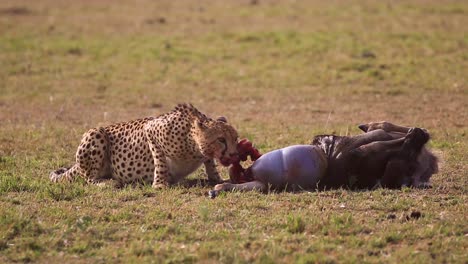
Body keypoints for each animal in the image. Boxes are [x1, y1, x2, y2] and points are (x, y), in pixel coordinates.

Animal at [50, 103, 238, 188]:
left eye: (235, 139)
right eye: (221, 140)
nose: (234, 154)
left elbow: (210, 163)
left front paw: (216, 178)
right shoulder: (151, 129)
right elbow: (160, 161)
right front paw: (160, 184)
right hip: (95, 133)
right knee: (88, 179)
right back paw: (107, 182)